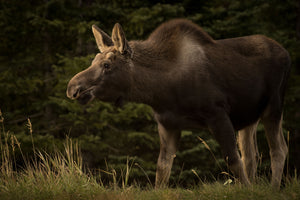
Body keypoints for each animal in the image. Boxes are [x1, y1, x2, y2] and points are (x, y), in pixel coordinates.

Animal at [66, 18, 290, 188]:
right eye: (93, 60)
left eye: (106, 65)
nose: (72, 87)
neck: (161, 90)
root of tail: (286, 52)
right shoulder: (168, 124)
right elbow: (162, 170)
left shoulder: (217, 114)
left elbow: (233, 160)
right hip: (249, 116)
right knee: (251, 155)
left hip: (274, 106)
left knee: (278, 149)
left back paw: (272, 188)